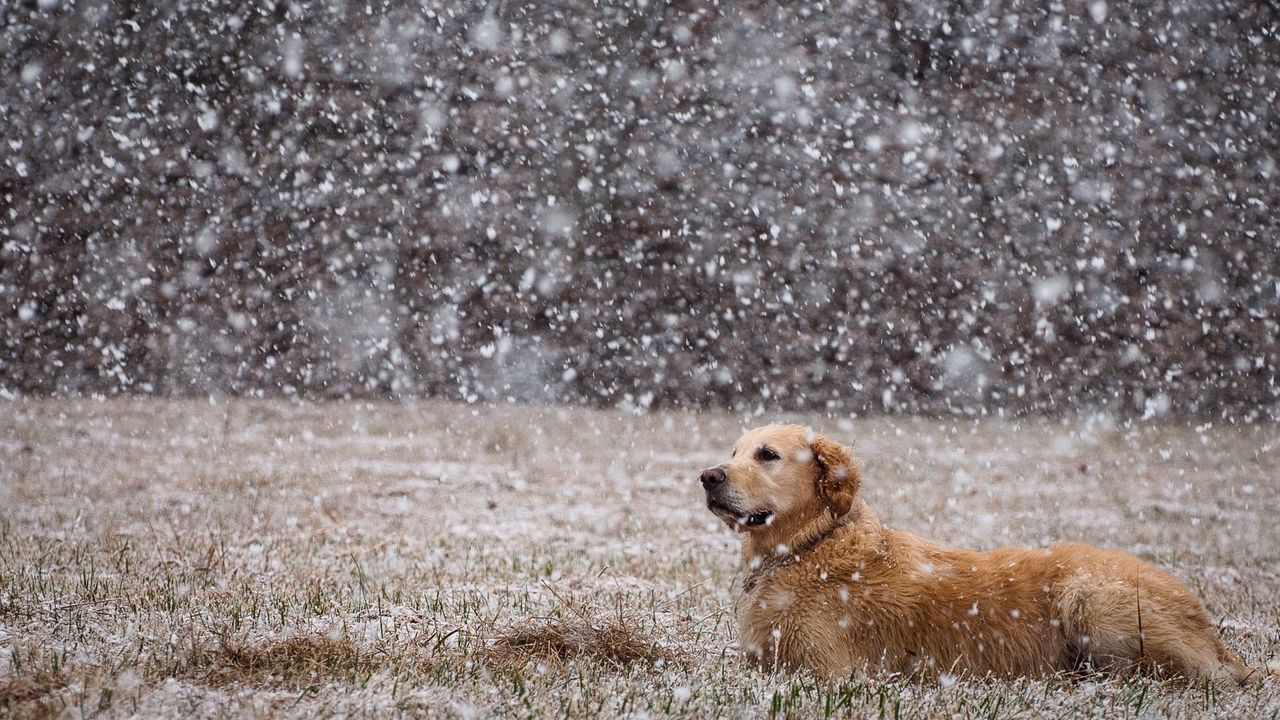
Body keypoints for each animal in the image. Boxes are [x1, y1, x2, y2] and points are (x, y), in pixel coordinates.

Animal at [706, 422, 1274, 681]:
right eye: (734, 451)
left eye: (768, 455)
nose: (708, 476)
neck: (810, 546)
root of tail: (1205, 622)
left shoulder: (827, 670)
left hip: (1093, 600)